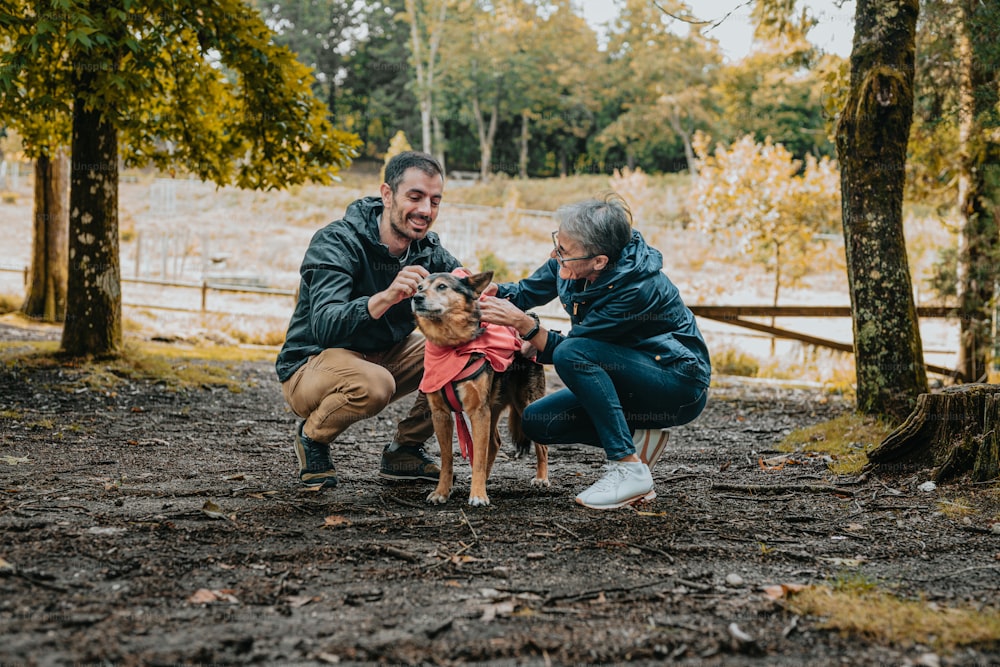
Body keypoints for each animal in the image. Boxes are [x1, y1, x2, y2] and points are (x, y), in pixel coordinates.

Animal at [410, 270, 548, 506]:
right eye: (419, 287)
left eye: (442, 287)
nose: (416, 298)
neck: (452, 347)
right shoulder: (441, 414)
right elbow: (447, 459)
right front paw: (441, 492)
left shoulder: (477, 412)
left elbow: (479, 457)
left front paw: (478, 495)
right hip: (492, 409)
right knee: (495, 443)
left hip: (526, 406)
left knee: (542, 445)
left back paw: (541, 478)